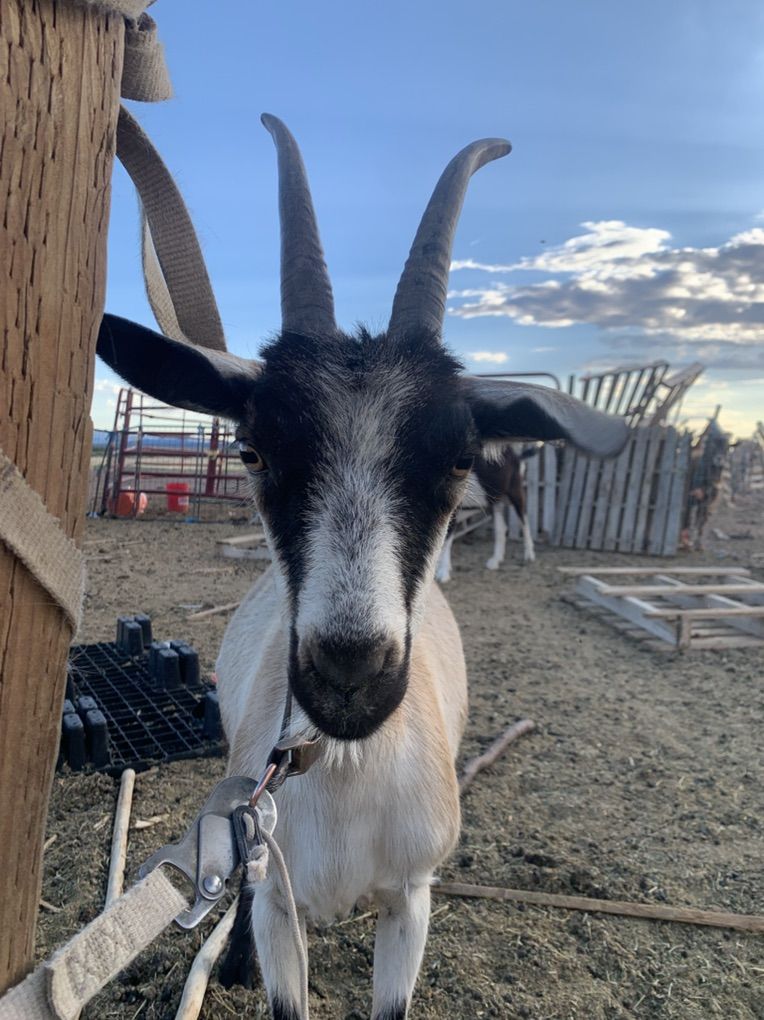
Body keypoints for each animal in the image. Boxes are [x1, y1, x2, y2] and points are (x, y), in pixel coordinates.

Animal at [435, 445, 537, 583]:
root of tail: (515, 454)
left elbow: (445, 542)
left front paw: (442, 573)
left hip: (515, 491)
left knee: (524, 521)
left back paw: (529, 554)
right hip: (495, 500)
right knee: (501, 528)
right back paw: (495, 560)